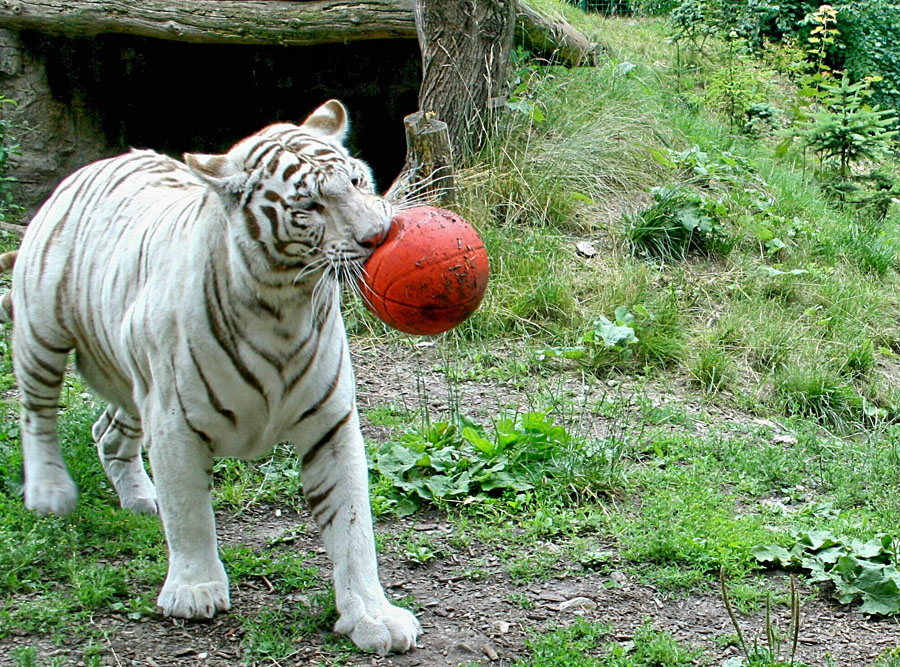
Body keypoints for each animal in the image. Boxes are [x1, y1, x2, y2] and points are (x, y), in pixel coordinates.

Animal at [0, 100, 422, 656]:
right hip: (42, 332)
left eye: (356, 180)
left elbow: (354, 528)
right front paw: (194, 590)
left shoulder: (331, 424)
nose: (379, 236)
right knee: (36, 415)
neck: (284, 306)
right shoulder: (174, 421)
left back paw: (141, 499)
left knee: (105, 431)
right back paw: (49, 492)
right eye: (308, 206)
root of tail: (92, 165)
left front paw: (373, 617)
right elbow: (190, 513)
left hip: (132, 378)